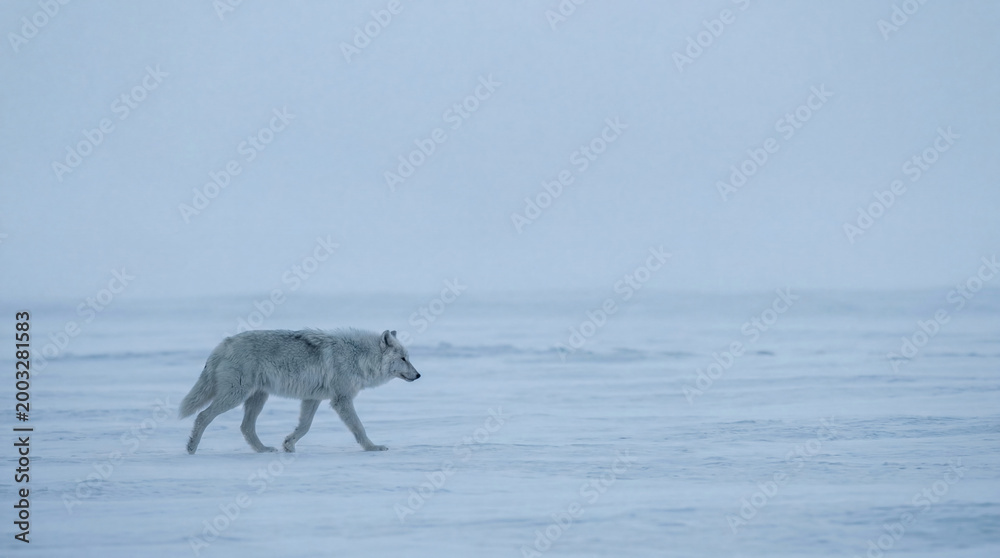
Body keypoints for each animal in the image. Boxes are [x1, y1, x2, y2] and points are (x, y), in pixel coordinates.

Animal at [180, 328, 419, 454]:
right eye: (403, 358)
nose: (418, 375)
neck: (358, 355)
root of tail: (222, 345)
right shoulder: (341, 400)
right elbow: (359, 428)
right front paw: (373, 448)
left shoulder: (312, 399)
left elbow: (304, 427)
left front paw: (288, 444)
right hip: (235, 396)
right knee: (203, 416)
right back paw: (191, 448)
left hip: (258, 398)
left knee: (245, 427)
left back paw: (264, 450)